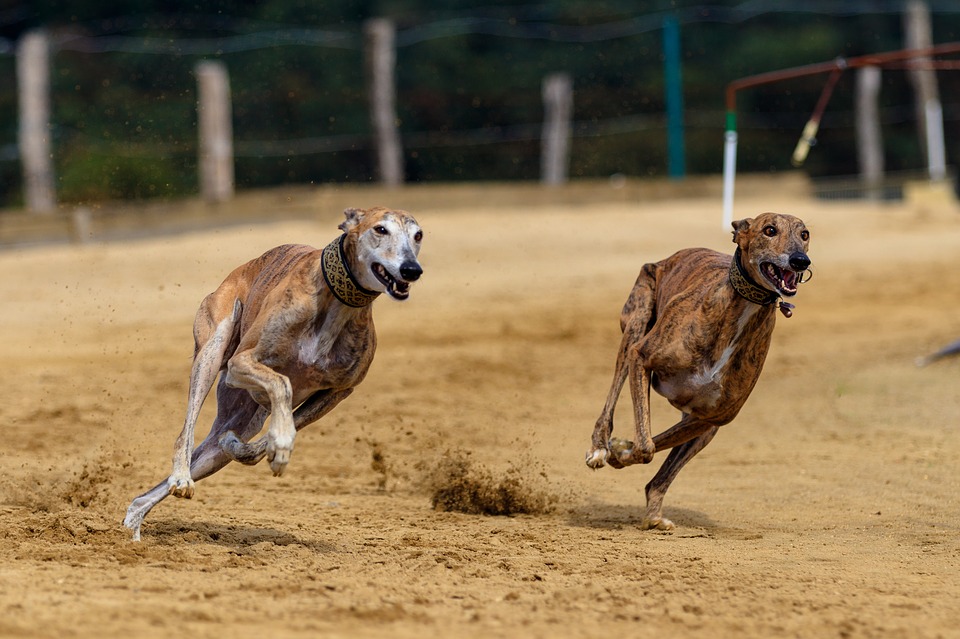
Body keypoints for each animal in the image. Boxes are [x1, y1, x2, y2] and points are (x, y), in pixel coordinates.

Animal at [122, 206, 422, 540]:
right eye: (380, 229)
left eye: (418, 235)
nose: (411, 270)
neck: (337, 305)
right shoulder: (241, 363)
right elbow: (283, 383)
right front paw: (279, 441)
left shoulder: (338, 392)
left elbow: (271, 435)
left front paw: (271, 446)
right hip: (214, 350)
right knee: (185, 432)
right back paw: (181, 478)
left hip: (238, 420)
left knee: (204, 452)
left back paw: (135, 519)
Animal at [584, 212, 808, 532]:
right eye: (769, 230)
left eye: (805, 234)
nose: (800, 260)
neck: (741, 310)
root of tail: (669, 258)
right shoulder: (641, 357)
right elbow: (647, 446)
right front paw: (614, 449)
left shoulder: (712, 417)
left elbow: (651, 444)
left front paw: (621, 451)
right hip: (636, 321)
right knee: (614, 390)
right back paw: (599, 447)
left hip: (703, 426)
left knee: (659, 476)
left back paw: (654, 516)